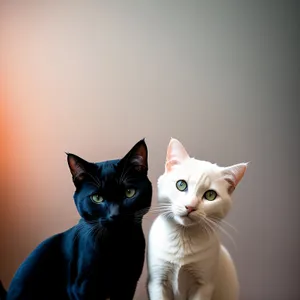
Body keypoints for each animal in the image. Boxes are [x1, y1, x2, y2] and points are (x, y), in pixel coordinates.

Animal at [1, 139, 152, 298]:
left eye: (129, 193)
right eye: (97, 198)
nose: (115, 214)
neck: (116, 244)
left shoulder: (128, 285)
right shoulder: (81, 288)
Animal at [146, 138, 247, 300]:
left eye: (210, 195)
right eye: (181, 185)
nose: (190, 206)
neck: (183, 239)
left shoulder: (204, 286)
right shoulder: (157, 281)